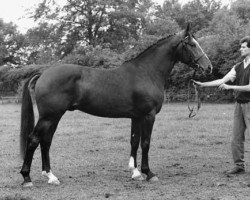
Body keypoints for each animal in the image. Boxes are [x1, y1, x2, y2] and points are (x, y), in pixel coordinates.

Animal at [19, 25, 212, 188]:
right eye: (192, 44)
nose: (208, 67)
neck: (146, 73)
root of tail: (43, 73)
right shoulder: (148, 115)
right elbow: (146, 142)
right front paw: (149, 173)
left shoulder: (136, 116)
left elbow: (134, 141)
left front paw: (135, 172)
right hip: (49, 116)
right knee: (34, 139)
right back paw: (27, 178)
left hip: (55, 117)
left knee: (46, 141)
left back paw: (50, 176)